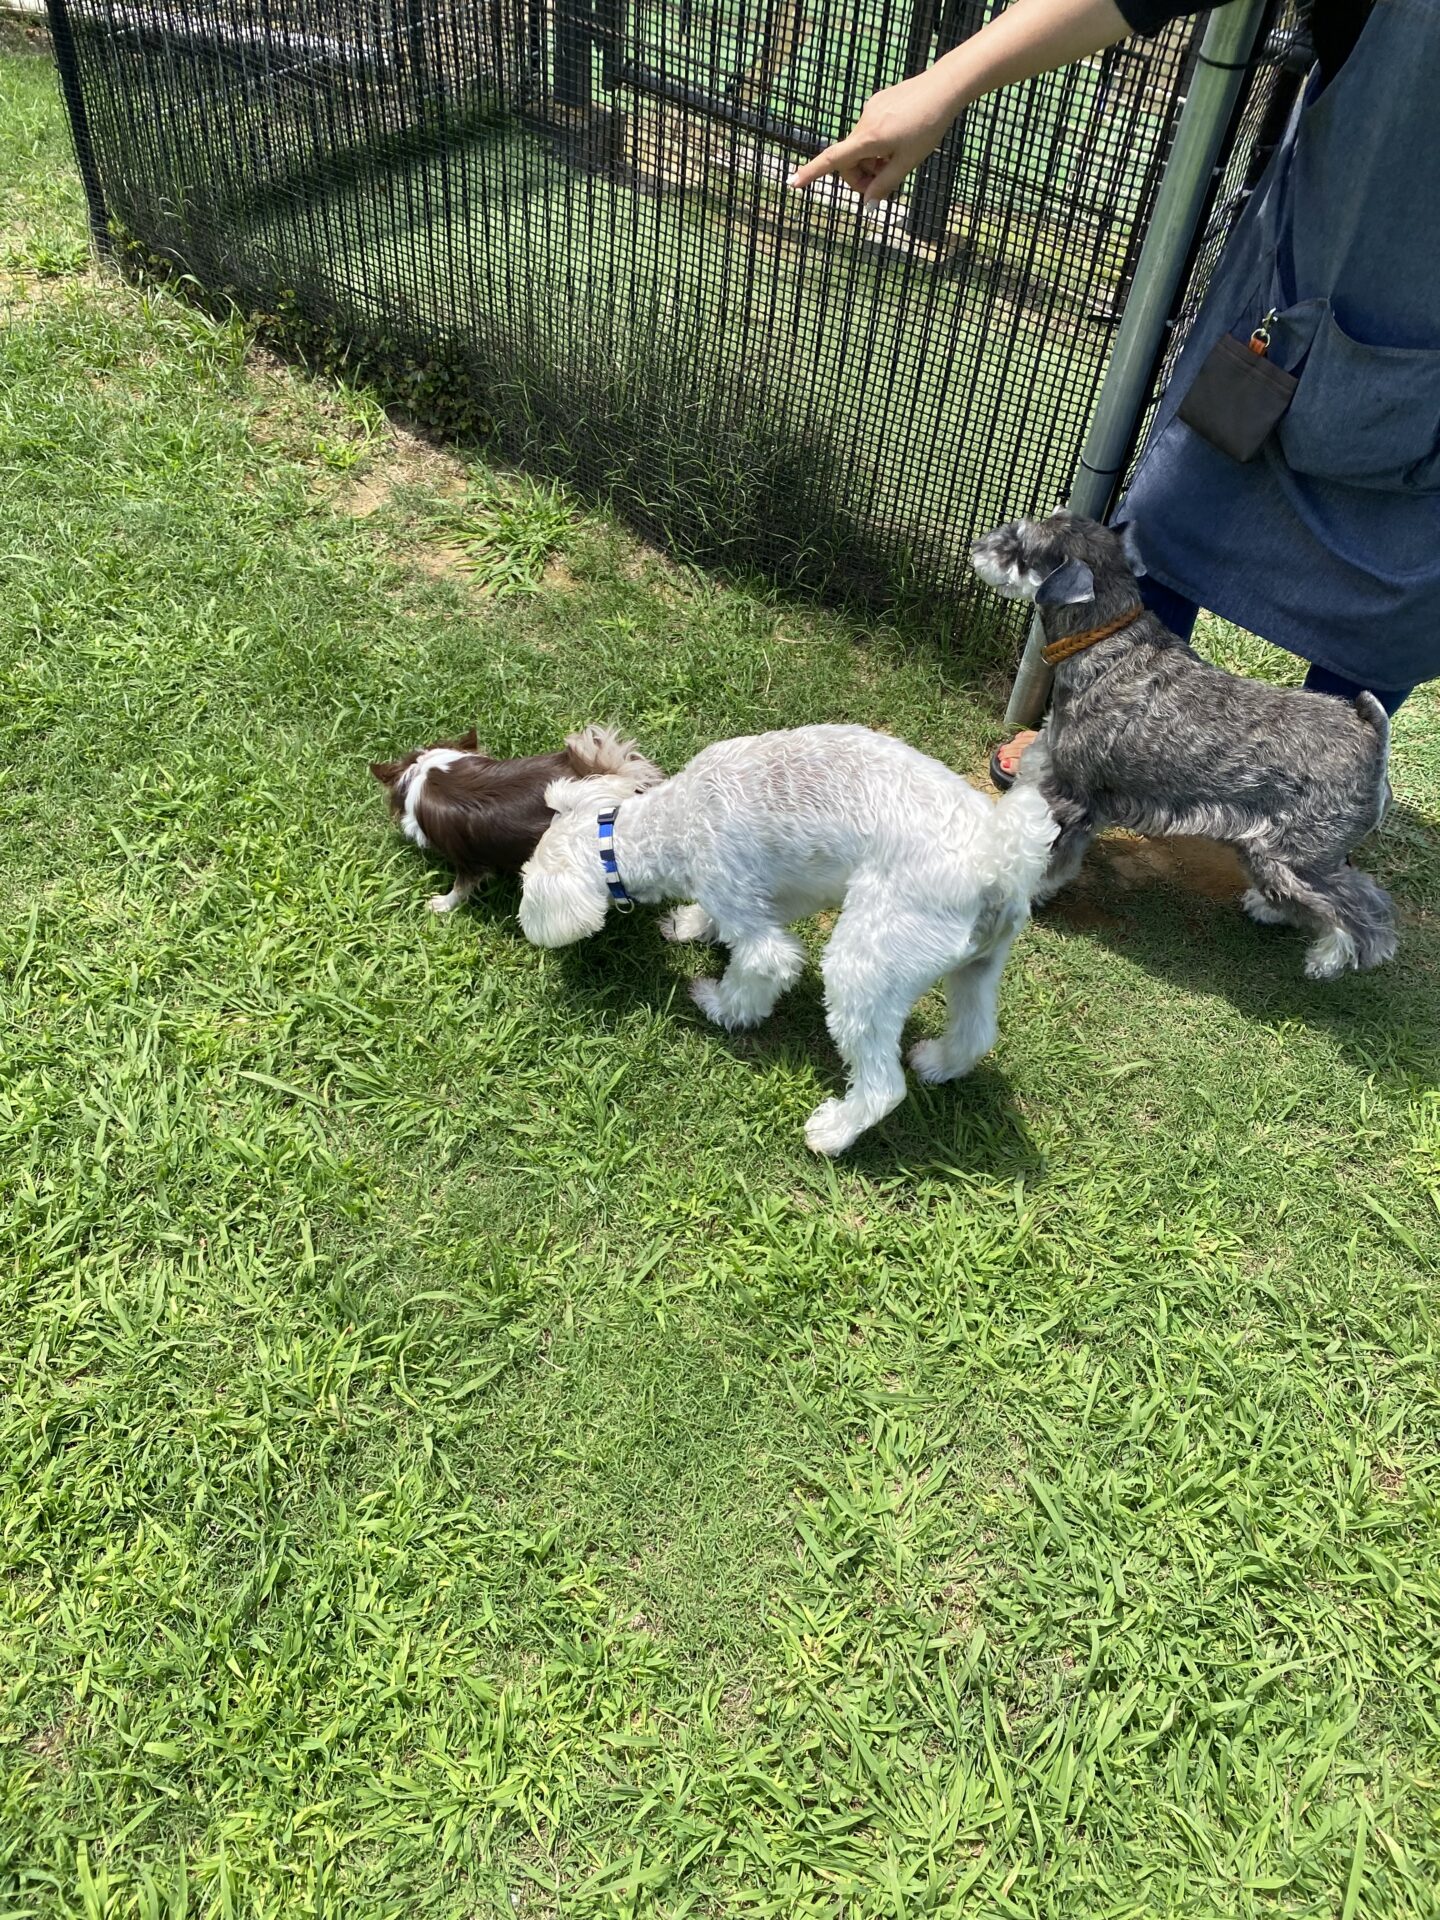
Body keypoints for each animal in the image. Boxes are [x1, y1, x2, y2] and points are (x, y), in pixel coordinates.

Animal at [518, 725, 1058, 1154]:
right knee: (975, 1033)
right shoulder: (776, 893)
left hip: (863, 968)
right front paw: (692, 926)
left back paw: (833, 1133)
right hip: (977, 968)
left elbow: (757, 969)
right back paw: (937, 1063)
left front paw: (721, 1006)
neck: (668, 823)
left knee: (883, 1086)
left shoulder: (747, 913)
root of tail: (1002, 861)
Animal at [971, 511, 1395, 980]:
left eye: (1020, 543)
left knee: (1362, 912)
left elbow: (1053, 855)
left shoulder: (1069, 797)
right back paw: (1269, 909)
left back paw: (1330, 957)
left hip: (1294, 858)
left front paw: (1032, 894)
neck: (1104, 642)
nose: (977, 546)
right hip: (1281, 855)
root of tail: (1371, 734)